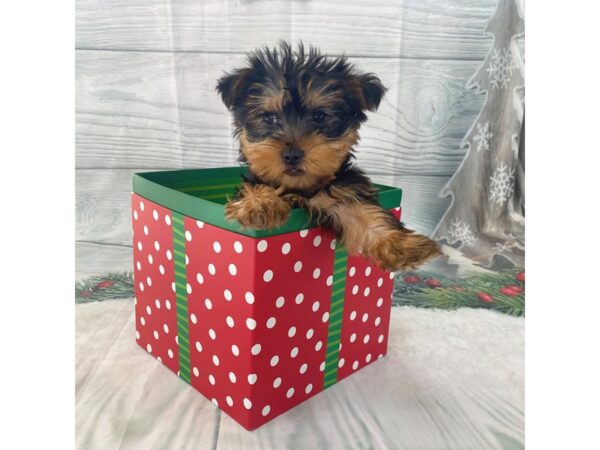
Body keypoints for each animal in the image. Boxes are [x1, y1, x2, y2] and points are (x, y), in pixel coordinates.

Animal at [213, 43, 438, 270]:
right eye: (269, 117)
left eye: (319, 116)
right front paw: (259, 205)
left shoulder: (341, 194)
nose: (292, 154)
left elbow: (365, 214)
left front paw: (404, 246)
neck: (301, 189)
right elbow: (257, 187)